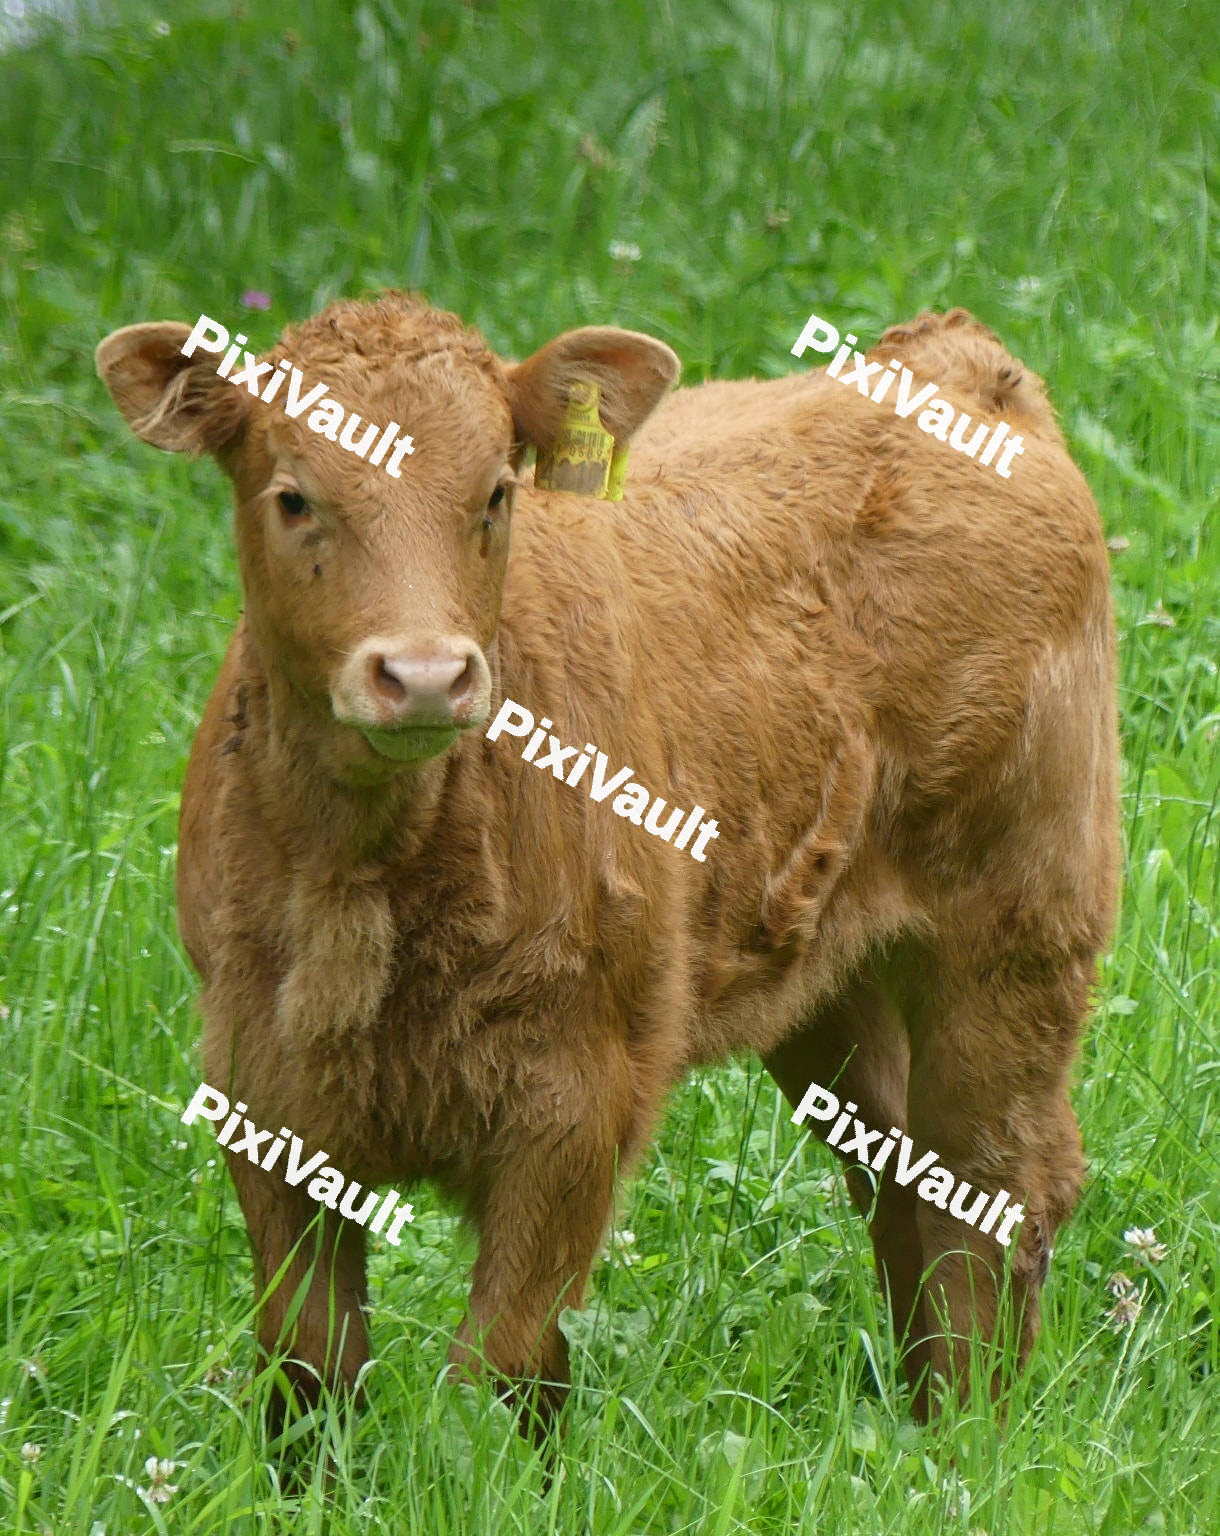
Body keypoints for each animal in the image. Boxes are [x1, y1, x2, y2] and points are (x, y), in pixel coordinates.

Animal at [96, 295, 1119, 1439]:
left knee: (990, 1180)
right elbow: (309, 1363)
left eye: (495, 494)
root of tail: (950, 358)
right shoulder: (259, 1085)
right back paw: (916, 1416)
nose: (424, 675)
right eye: (293, 496)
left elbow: (498, 1366)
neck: (366, 876)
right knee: (899, 1176)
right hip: (830, 981)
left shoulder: (577, 1095)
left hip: (1018, 929)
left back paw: (970, 1431)